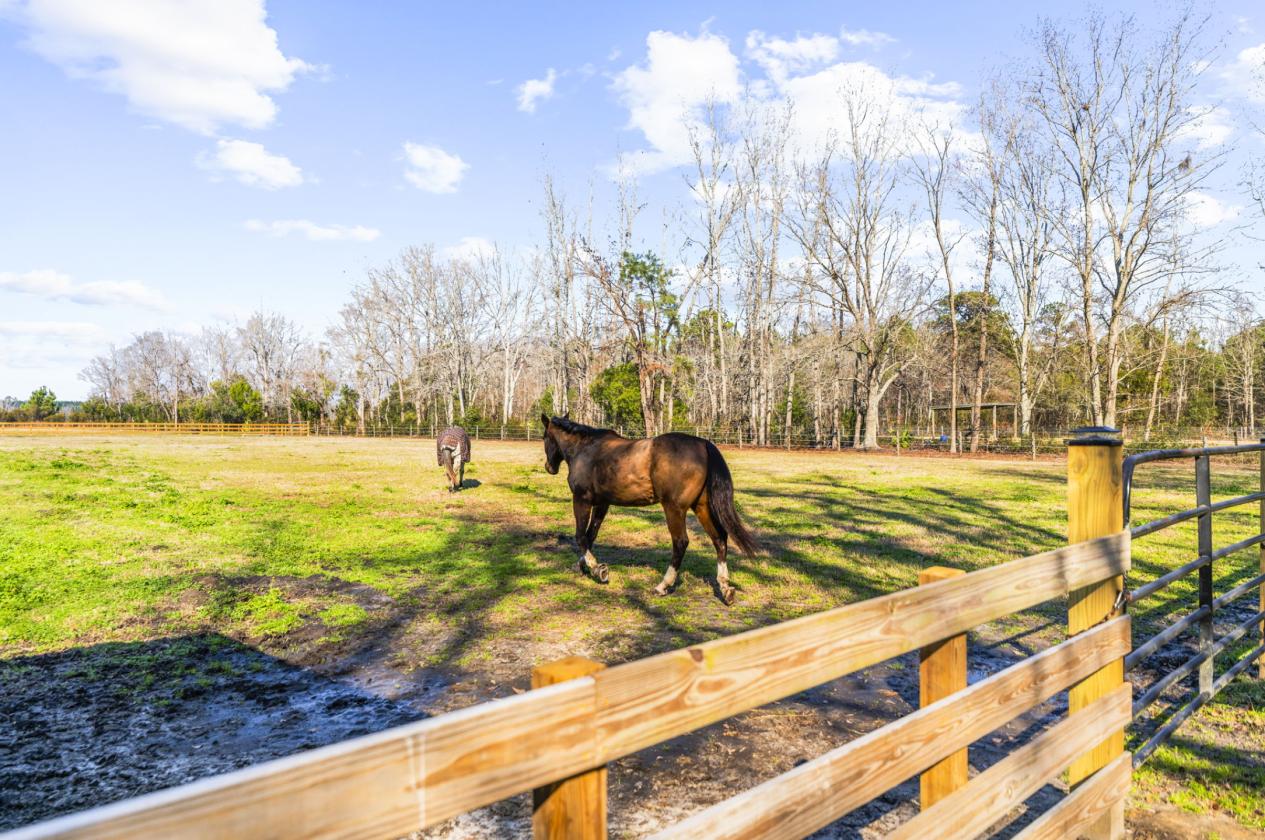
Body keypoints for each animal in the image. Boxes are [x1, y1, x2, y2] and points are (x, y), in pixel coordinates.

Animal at [540, 414, 759, 604]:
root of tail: (703, 444)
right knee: (719, 539)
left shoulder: (581, 500)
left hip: (674, 509)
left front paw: (596, 569)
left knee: (681, 542)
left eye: (545, 437)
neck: (585, 450)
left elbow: (580, 536)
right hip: (701, 506)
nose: (549, 467)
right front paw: (583, 565)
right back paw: (725, 588)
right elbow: (590, 535)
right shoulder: (602, 504)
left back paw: (663, 586)